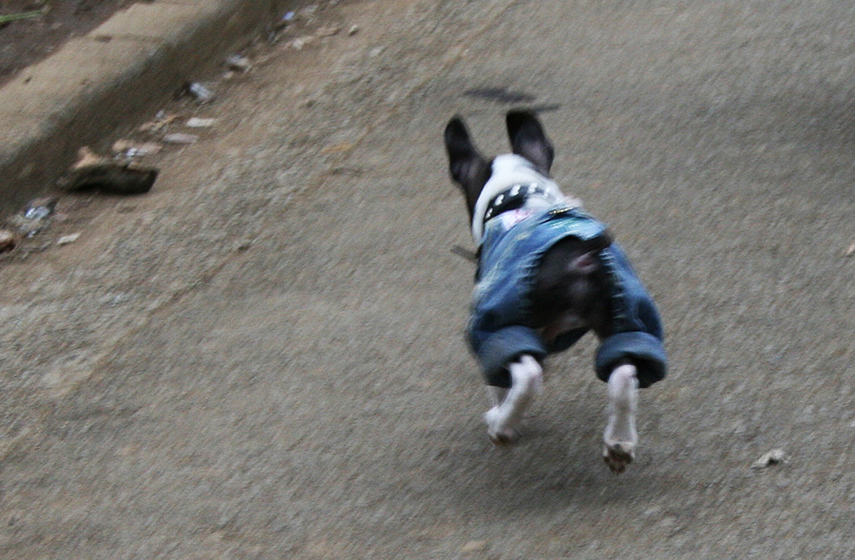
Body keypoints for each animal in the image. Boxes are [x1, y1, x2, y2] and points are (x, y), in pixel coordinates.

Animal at [443, 110, 667, 473]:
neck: (517, 194)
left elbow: (499, 383)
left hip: (498, 319)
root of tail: (582, 254)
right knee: (624, 373)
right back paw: (619, 444)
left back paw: (501, 425)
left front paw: (500, 414)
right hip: (625, 317)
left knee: (526, 374)